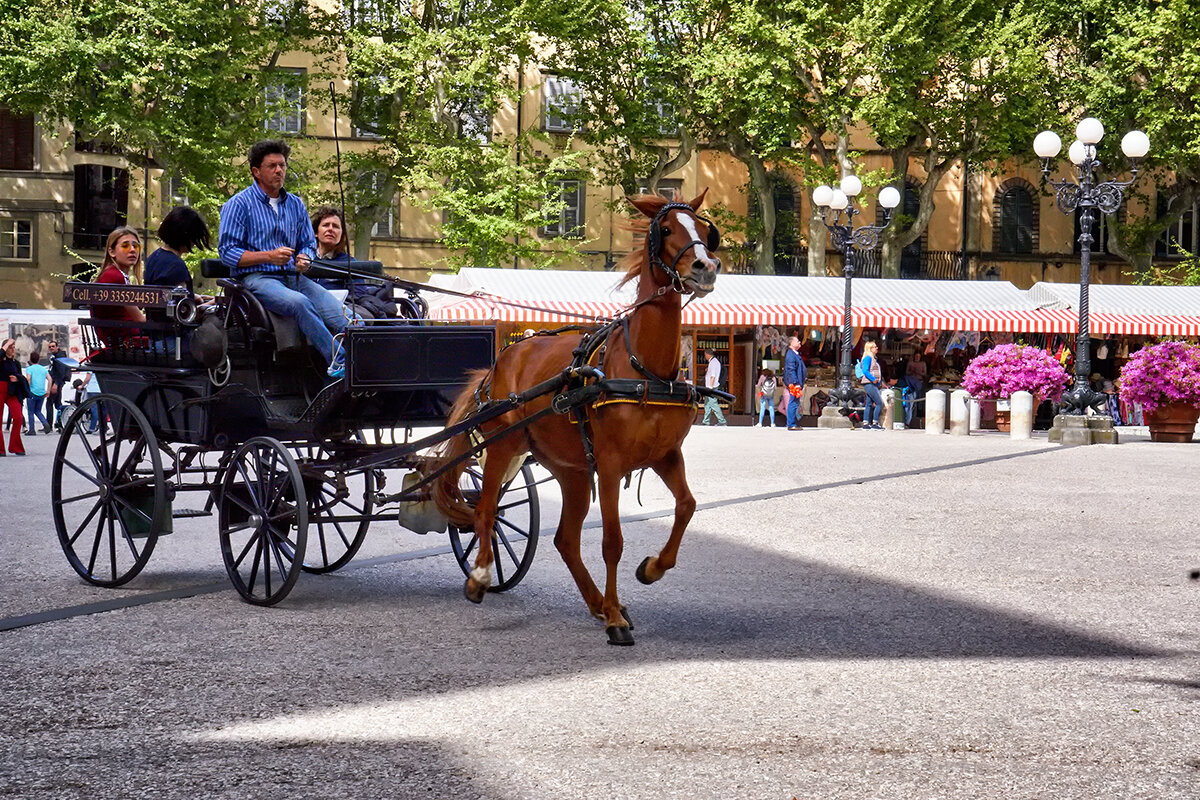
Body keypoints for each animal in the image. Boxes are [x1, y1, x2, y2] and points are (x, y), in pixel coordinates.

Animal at [436, 190, 724, 647]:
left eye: (703, 229)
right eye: (665, 230)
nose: (706, 266)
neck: (644, 368)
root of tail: (503, 359)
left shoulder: (666, 456)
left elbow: (687, 507)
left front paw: (651, 569)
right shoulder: (609, 466)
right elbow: (612, 541)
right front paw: (616, 619)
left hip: (569, 470)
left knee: (565, 540)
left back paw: (598, 602)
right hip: (503, 446)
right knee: (485, 510)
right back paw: (481, 574)